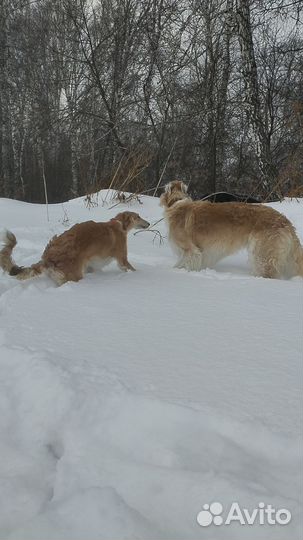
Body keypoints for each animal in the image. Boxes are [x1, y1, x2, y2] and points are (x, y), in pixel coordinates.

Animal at [0, 212, 150, 286]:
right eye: (138, 216)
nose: (149, 223)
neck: (119, 224)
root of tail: (47, 257)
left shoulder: (91, 265)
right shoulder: (122, 259)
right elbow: (130, 268)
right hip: (74, 276)